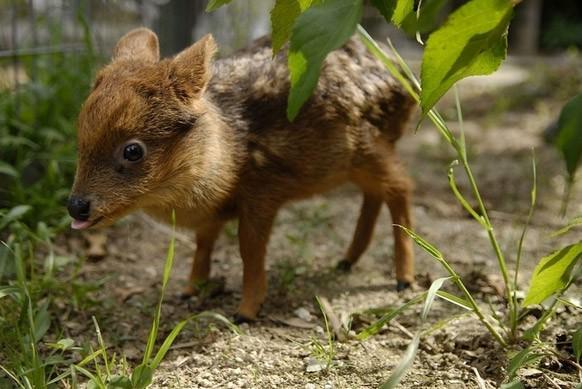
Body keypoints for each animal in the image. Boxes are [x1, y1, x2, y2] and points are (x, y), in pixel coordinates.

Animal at [67, 28, 416, 322]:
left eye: (133, 150)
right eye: (80, 136)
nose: (75, 206)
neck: (229, 152)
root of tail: (406, 81)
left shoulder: (262, 192)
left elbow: (249, 250)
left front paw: (245, 312)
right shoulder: (213, 213)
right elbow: (203, 242)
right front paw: (190, 289)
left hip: (372, 146)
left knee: (400, 188)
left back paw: (404, 279)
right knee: (375, 194)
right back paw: (347, 261)